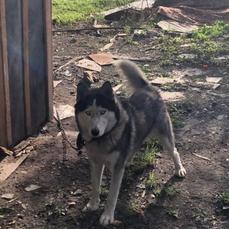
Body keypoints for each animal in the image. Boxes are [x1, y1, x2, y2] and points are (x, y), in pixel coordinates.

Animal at [75, 60, 186, 225]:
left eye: (103, 112)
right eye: (88, 113)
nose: (95, 131)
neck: (102, 140)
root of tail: (148, 88)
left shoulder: (116, 169)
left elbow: (112, 195)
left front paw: (107, 216)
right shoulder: (95, 163)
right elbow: (95, 187)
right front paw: (93, 205)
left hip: (165, 136)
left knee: (174, 152)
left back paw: (179, 169)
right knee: (135, 145)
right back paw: (128, 160)